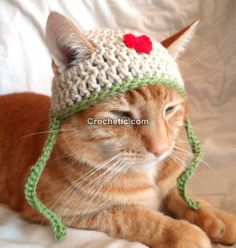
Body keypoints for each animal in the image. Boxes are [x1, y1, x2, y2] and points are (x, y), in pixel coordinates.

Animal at [0, 13, 236, 248]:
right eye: (122, 114)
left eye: (169, 109)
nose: (160, 149)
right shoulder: (60, 213)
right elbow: (135, 216)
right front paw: (182, 232)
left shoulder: (169, 185)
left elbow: (182, 195)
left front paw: (218, 218)